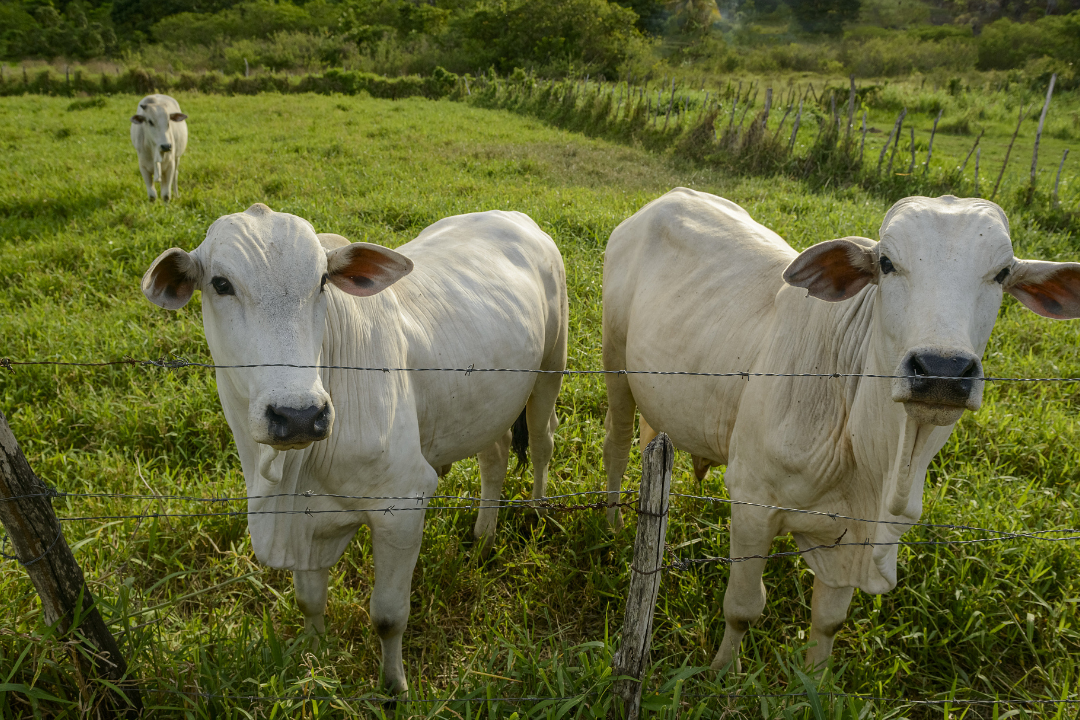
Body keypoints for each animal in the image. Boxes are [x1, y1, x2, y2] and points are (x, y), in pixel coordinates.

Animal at [141, 202, 574, 690]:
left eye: (322, 281)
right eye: (220, 284)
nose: (298, 415)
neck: (284, 479)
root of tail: (516, 215)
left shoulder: (403, 505)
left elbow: (387, 616)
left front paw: (394, 686)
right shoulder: (308, 522)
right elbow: (310, 600)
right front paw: (314, 653)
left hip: (550, 370)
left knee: (543, 442)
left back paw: (536, 511)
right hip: (490, 403)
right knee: (494, 457)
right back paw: (483, 537)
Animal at [604, 188, 1080, 673]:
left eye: (1002, 273)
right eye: (886, 263)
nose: (942, 370)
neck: (879, 463)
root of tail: (669, 197)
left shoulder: (853, 534)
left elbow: (828, 621)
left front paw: (813, 678)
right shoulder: (753, 502)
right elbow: (742, 607)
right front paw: (723, 672)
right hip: (615, 366)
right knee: (616, 447)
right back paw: (614, 525)